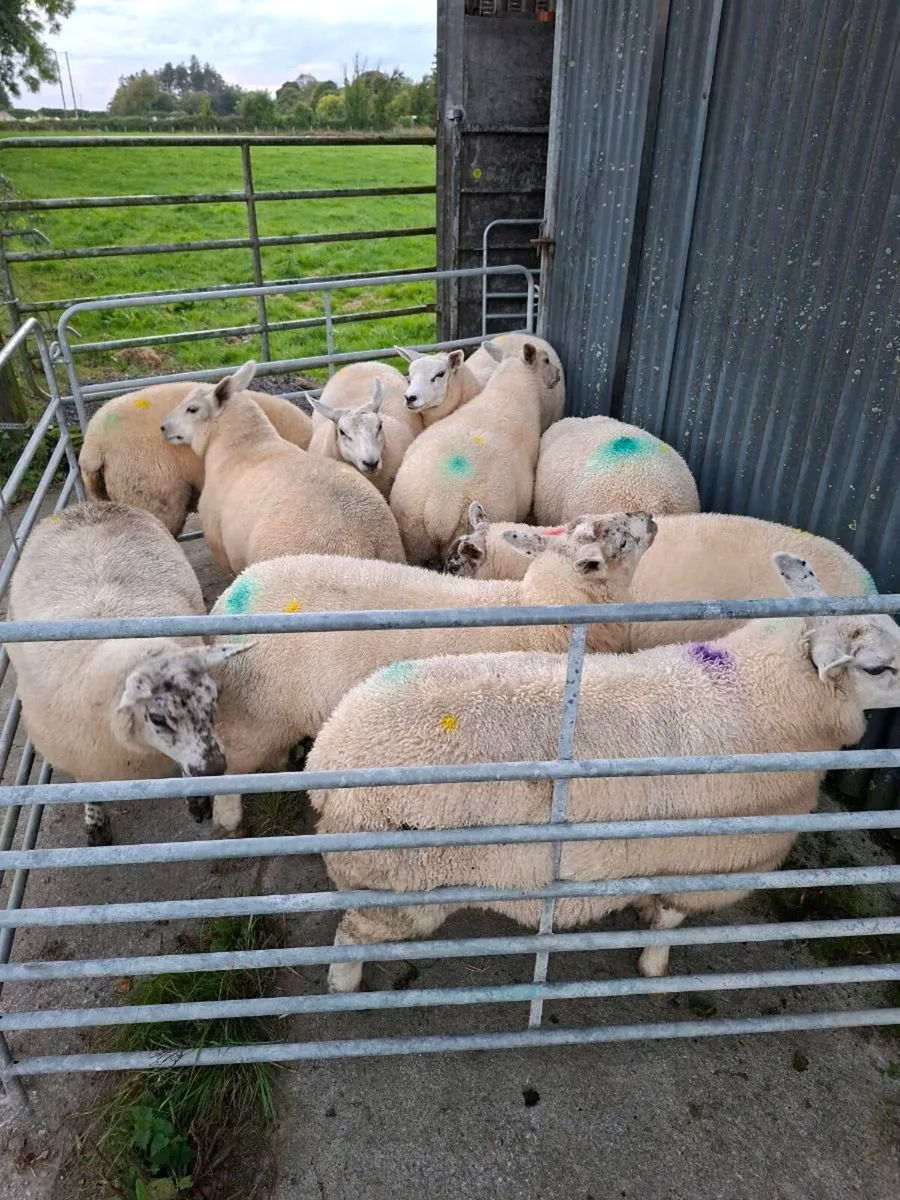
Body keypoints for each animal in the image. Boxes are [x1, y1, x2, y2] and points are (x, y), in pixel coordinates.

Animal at [6, 503, 249, 845]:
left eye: (215, 698)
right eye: (157, 717)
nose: (215, 768)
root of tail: (86, 506)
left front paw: (197, 798)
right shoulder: (85, 759)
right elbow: (90, 790)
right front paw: (95, 824)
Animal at [209, 511, 656, 835]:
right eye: (621, 541)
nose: (649, 517)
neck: (537, 612)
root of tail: (228, 597)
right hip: (252, 713)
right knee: (230, 766)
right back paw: (229, 820)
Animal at [308, 552, 900, 993]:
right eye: (876, 668)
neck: (758, 694)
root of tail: (330, 752)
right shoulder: (697, 864)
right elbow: (668, 927)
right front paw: (653, 969)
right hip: (397, 886)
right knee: (349, 935)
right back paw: (343, 987)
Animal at [389, 343, 562, 565]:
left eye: (439, 374)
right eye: (546, 360)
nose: (558, 375)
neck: (508, 389)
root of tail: (441, 505)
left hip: (413, 538)